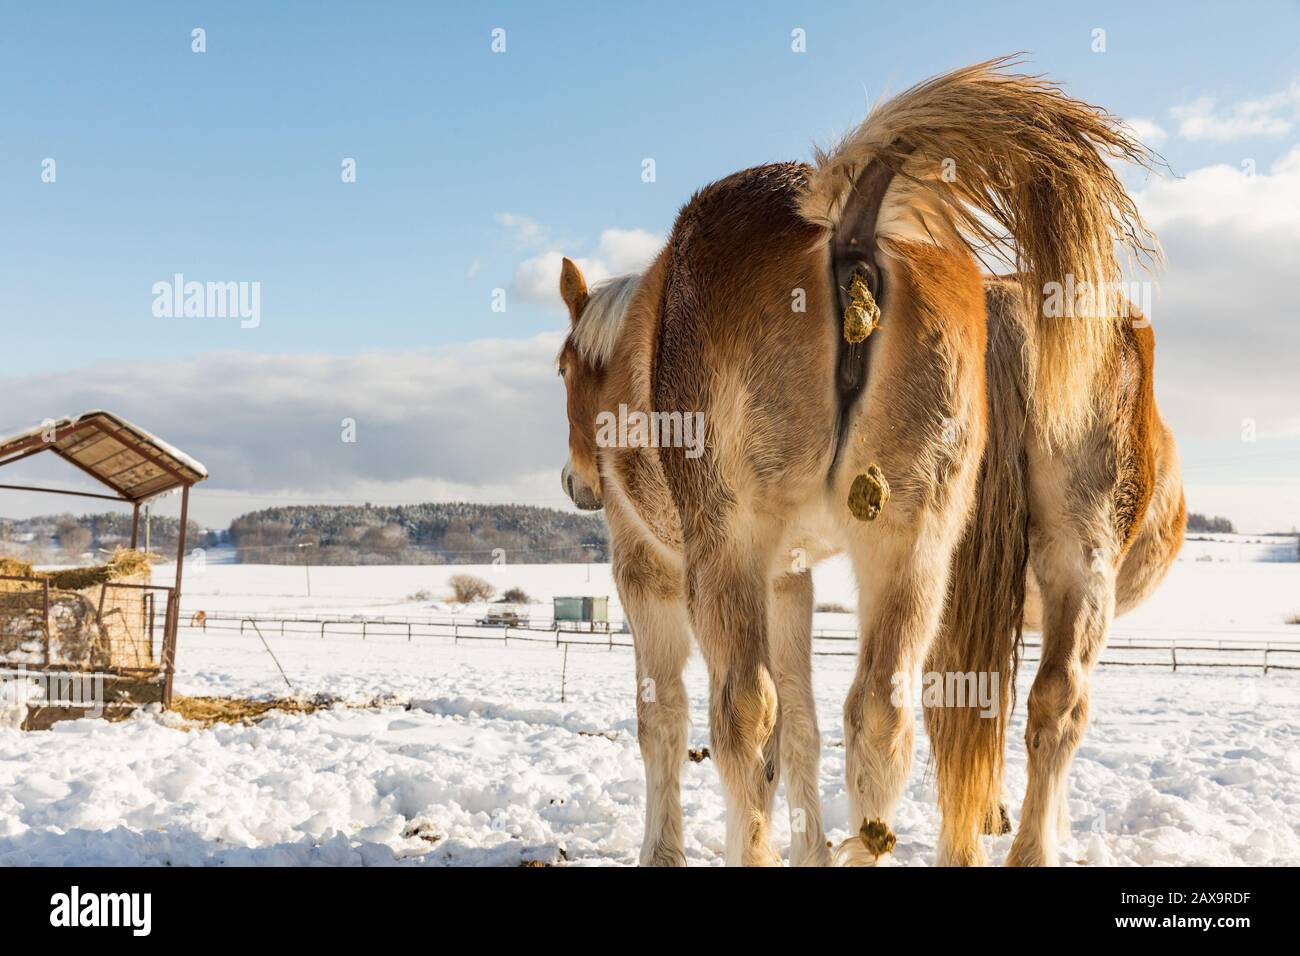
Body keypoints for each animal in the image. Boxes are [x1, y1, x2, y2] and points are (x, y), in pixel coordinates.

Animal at [553, 57, 1185, 868]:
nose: (578, 484)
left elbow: (667, 719)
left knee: (744, 713)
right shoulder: (790, 577)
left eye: (562, 369)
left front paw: (664, 851)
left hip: (732, 550)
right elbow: (803, 726)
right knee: (915, 714)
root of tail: (845, 218)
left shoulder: (649, 569)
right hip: (964, 550)